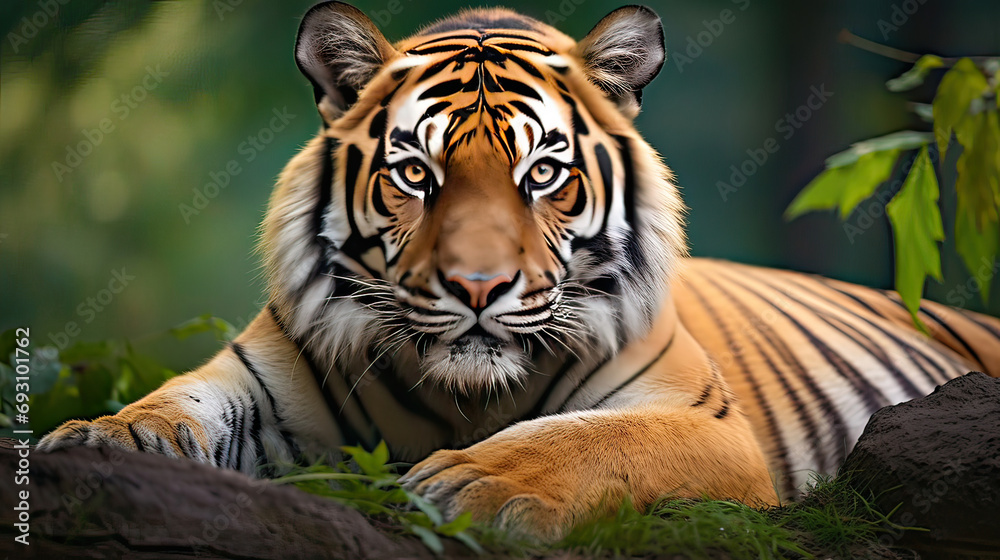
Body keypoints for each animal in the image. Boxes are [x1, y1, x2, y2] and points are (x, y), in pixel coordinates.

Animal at [38, 1, 1000, 540]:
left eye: (542, 172)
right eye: (415, 173)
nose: (476, 288)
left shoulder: (706, 423)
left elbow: (598, 440)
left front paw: (471, 482)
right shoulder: (259, 380)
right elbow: (176, 402)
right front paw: (100, 441)